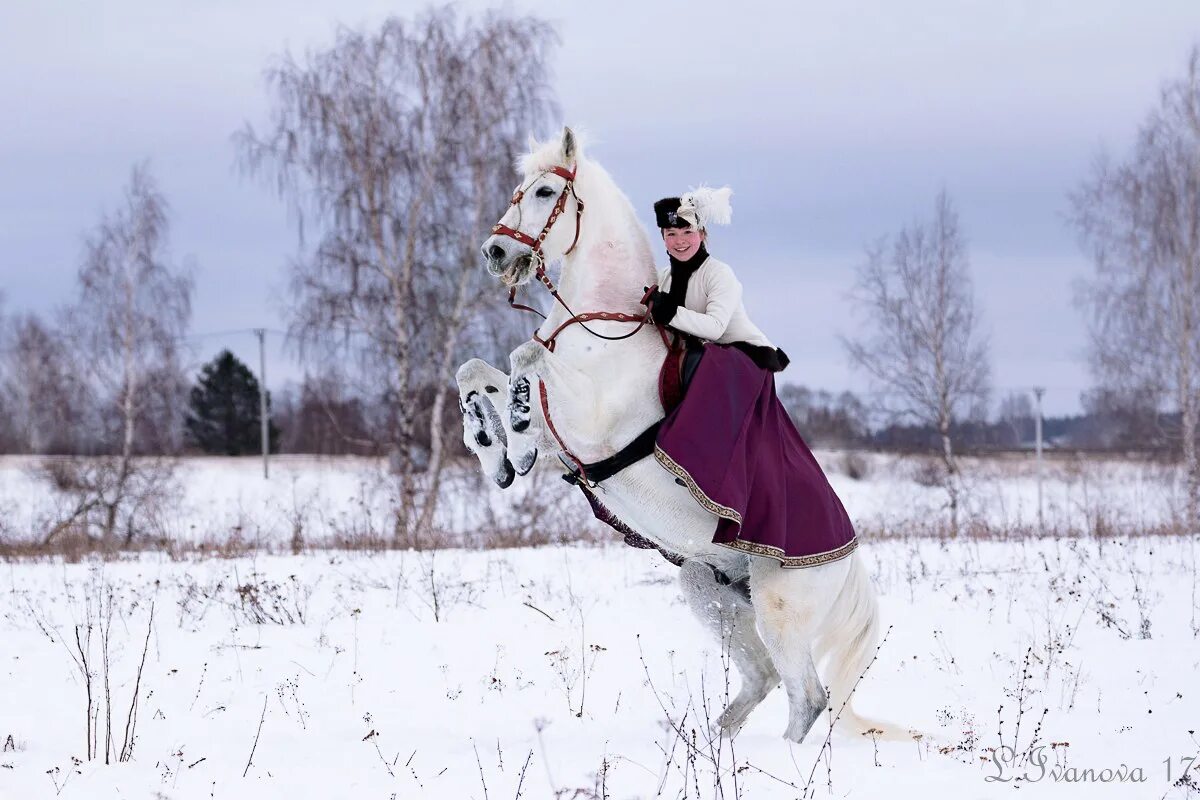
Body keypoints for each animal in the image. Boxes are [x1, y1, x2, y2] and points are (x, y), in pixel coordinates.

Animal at [458, 126, 892, 743]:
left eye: (543, 191)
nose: (495, 252)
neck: (604, 323)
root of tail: (850, 560)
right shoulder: (558, 425)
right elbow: (476, 372)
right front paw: (491, 449)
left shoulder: (583, 417)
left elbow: (524, 362)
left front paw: (513, 437)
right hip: (708, 591)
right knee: (763, 680)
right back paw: (708, 744)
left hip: (780, 609)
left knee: (808, 697)